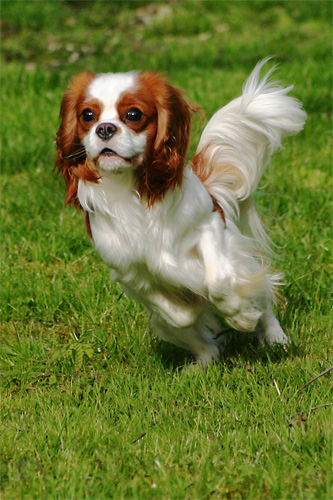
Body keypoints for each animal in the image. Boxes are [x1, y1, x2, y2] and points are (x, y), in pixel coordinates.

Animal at [55, 60, 306, 366]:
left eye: (134, 114)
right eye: (87, 115)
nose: (104, 129)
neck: (130, 191)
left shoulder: (209, 226)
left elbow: (219, 282)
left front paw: (241, 315)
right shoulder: (128, 271)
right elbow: (180, 315)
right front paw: (194, 306)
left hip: (243, 258)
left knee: (264, 296)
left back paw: (274, 338)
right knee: (195, 337)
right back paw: (204, 362)